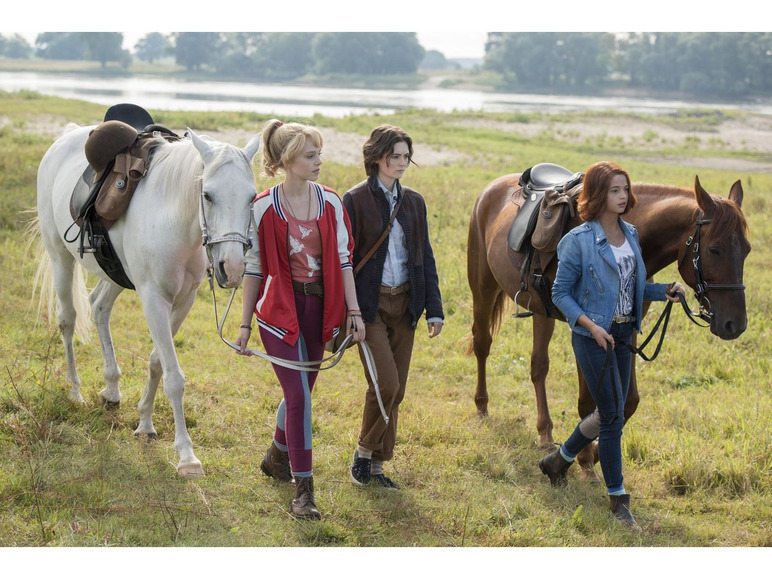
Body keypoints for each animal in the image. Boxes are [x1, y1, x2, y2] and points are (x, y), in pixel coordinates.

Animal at [34, 122, 261, 476]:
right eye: (207, 195)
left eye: (252, 196)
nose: (233, 268)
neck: (175, 221)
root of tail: (66, 136)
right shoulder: (154, 300)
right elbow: (174, 377)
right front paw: (186, 455)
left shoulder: (183, 301)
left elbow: (157, 362)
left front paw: (145, 424)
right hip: (60, 257)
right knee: (68, 320)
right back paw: (75, 391)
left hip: (114, 272)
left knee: (99, 307)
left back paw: (112, 388)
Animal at [466, 173, 750, 478]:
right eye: (714, 249)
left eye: (747, 250)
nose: (735, 324)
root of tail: (492, 188)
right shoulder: (586, 329)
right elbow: (588, 402)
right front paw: (584, 459)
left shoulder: (627, 333)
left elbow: (628, 401)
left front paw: (595, 449)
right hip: (483, 288)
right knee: (482, 344)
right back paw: (481, 405)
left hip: (541, 312)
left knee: (538, 366)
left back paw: (545, 432)